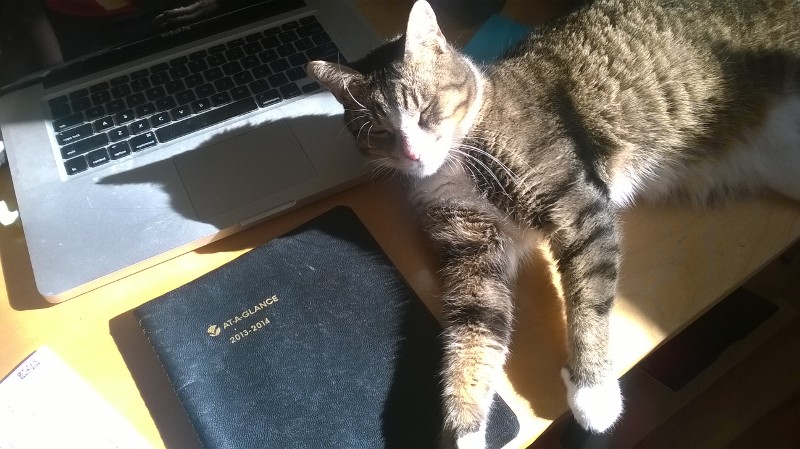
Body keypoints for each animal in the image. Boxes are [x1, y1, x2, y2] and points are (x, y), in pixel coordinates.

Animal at [306, 0, 800, 444]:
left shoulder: (577, 207)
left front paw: (593, 391)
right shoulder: (472, 255)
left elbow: (589, 302)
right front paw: (465, 432)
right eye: (379, 132)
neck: (457, 161)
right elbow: (472, 335)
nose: (411, 154)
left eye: (426, 111)